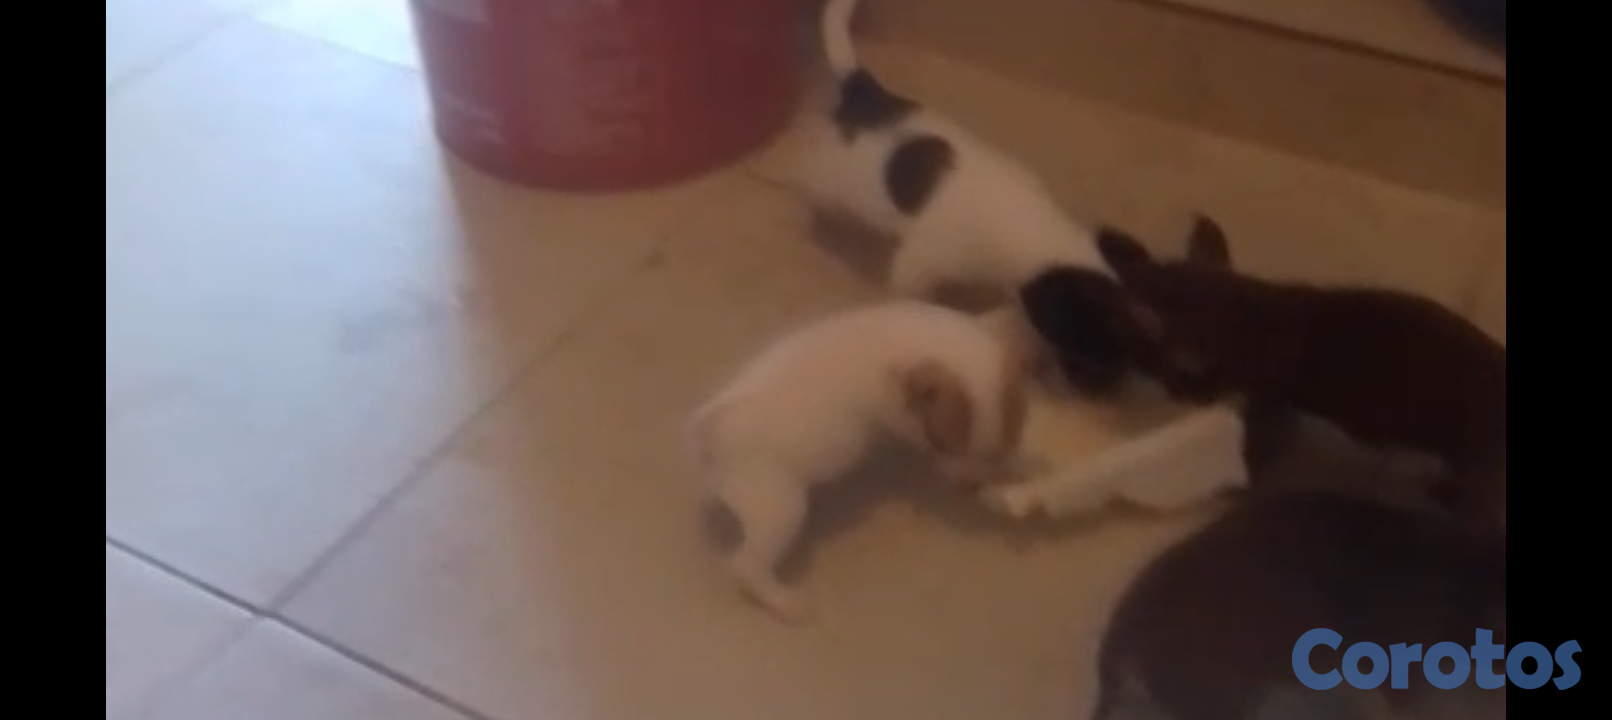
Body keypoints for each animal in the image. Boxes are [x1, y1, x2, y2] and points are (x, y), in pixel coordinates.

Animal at [686, 301, 1036, 622]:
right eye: (946, 447)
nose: (971, 487)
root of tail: (709, 429)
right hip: (781, 509)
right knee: (746, 567)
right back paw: (784, 602)